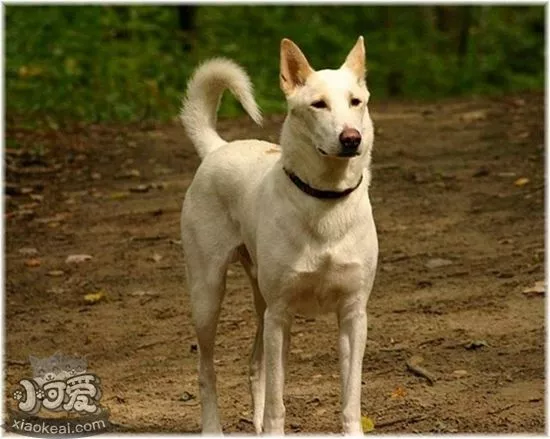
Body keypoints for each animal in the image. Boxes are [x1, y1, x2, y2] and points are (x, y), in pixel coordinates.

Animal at [181, 36, 380, 434]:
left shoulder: (353, 316)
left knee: (255, 364)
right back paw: (212, 426)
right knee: (206, 371)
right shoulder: (281, 315)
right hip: (208, 296)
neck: (325, 200)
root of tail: (217, 148)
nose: (351, 139)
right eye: (318, 104)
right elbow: (277, 400)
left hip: (261, 301)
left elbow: (350, 396)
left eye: (356, 102)